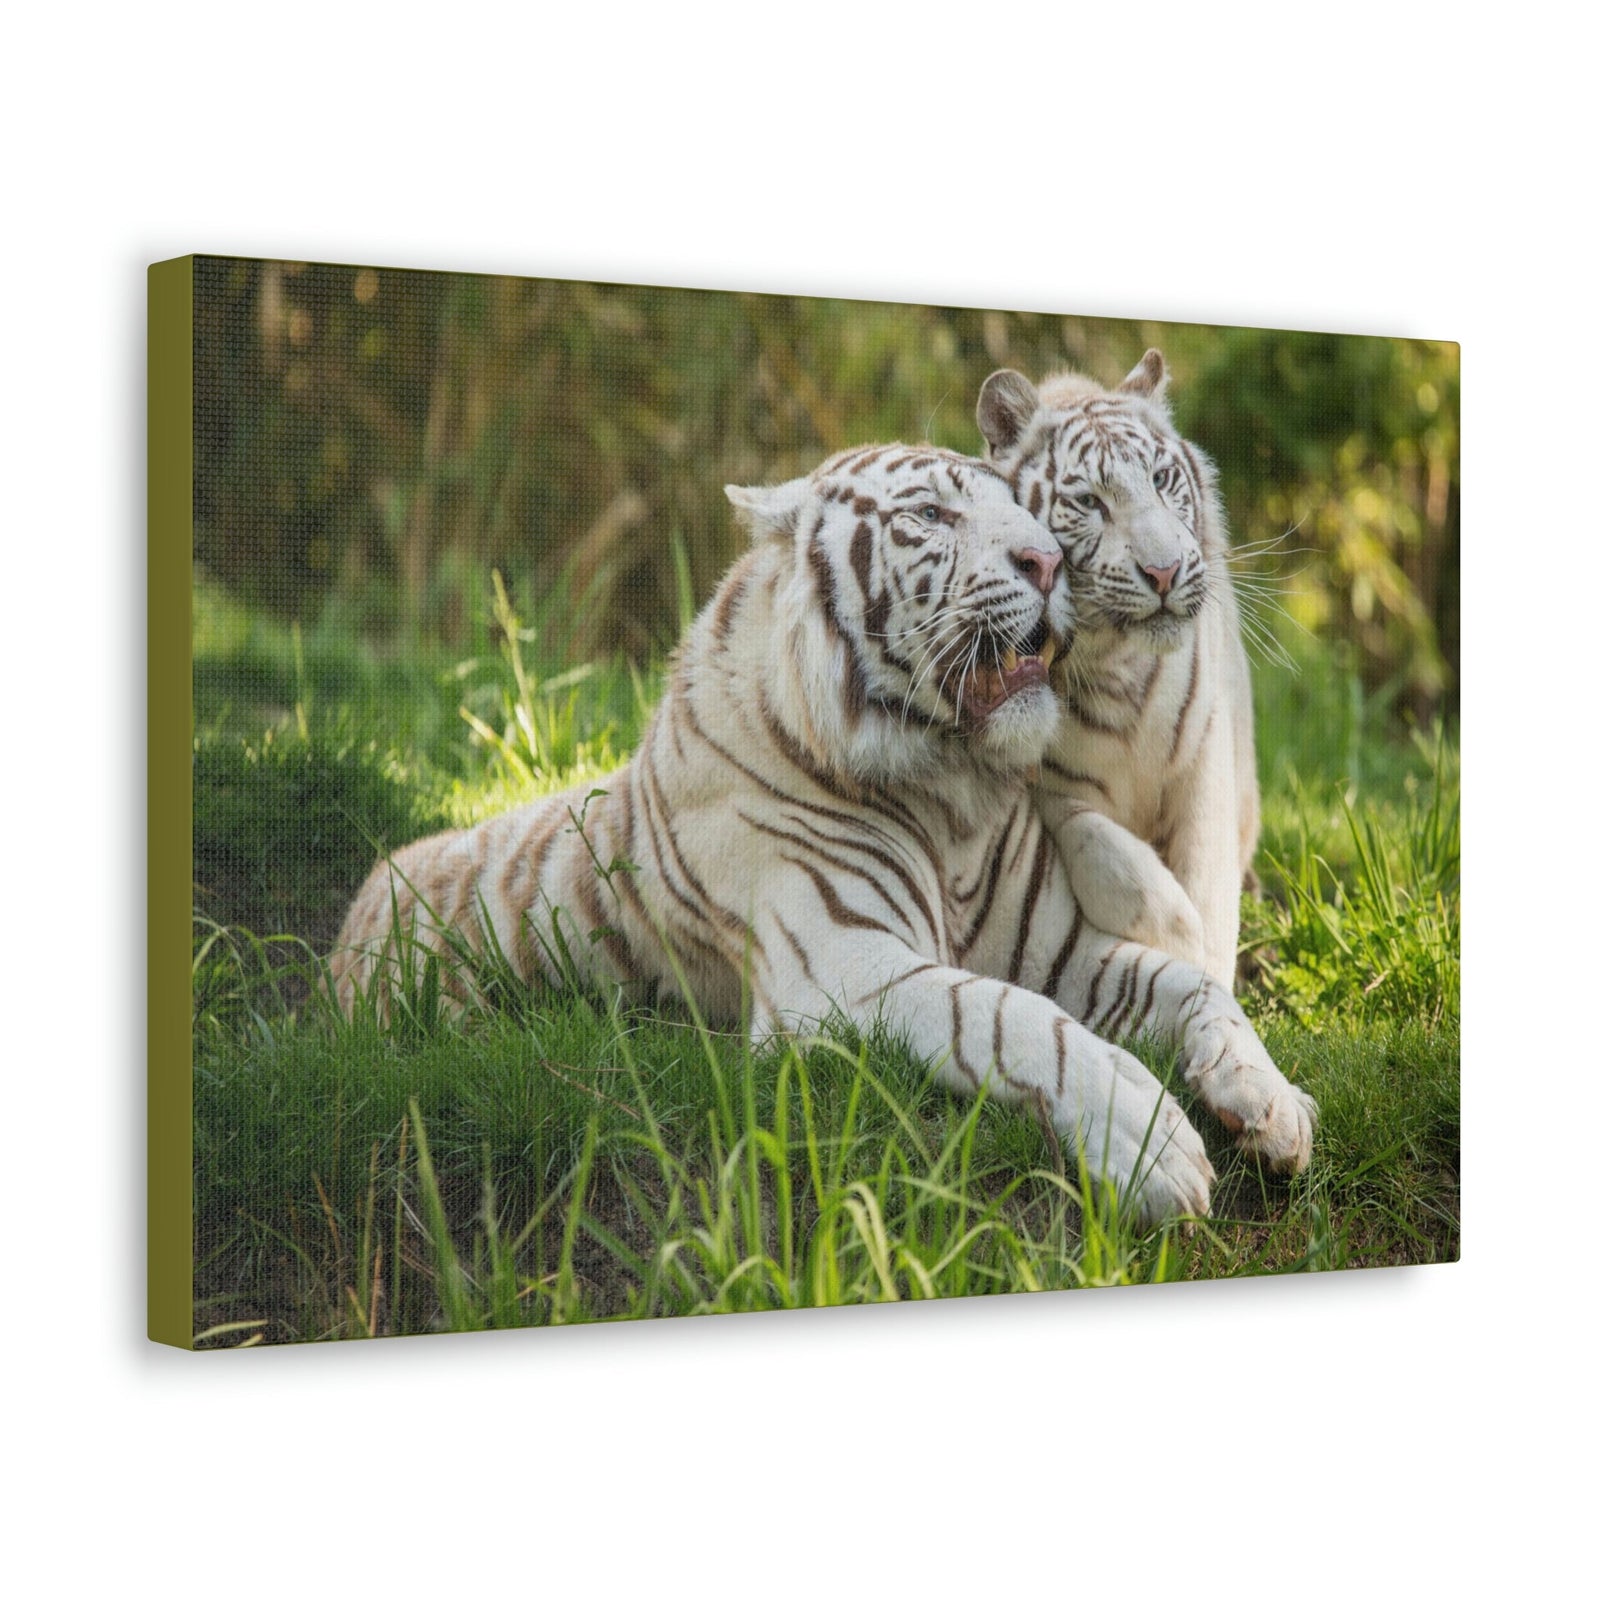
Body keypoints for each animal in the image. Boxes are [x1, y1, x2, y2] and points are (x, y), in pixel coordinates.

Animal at [332, 445, 1315, 1221]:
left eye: (1030, 511)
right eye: (931, 514)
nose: (1048, 563)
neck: (952, 798)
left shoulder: (1059, 950)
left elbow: (1197, 989)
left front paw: (1272, 1105)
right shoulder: (843, 969)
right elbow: (1013, 1021)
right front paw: (1154, 1147)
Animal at [977, 350, 1260, 992]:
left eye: (1160, 480)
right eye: (1089, 503)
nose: (1165, 571)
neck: (1117, 666)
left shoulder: (1206, 765)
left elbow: (1210, 885)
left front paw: (1208, 962)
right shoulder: (1043, 784)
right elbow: (1107, 851)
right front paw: (1178, 936)